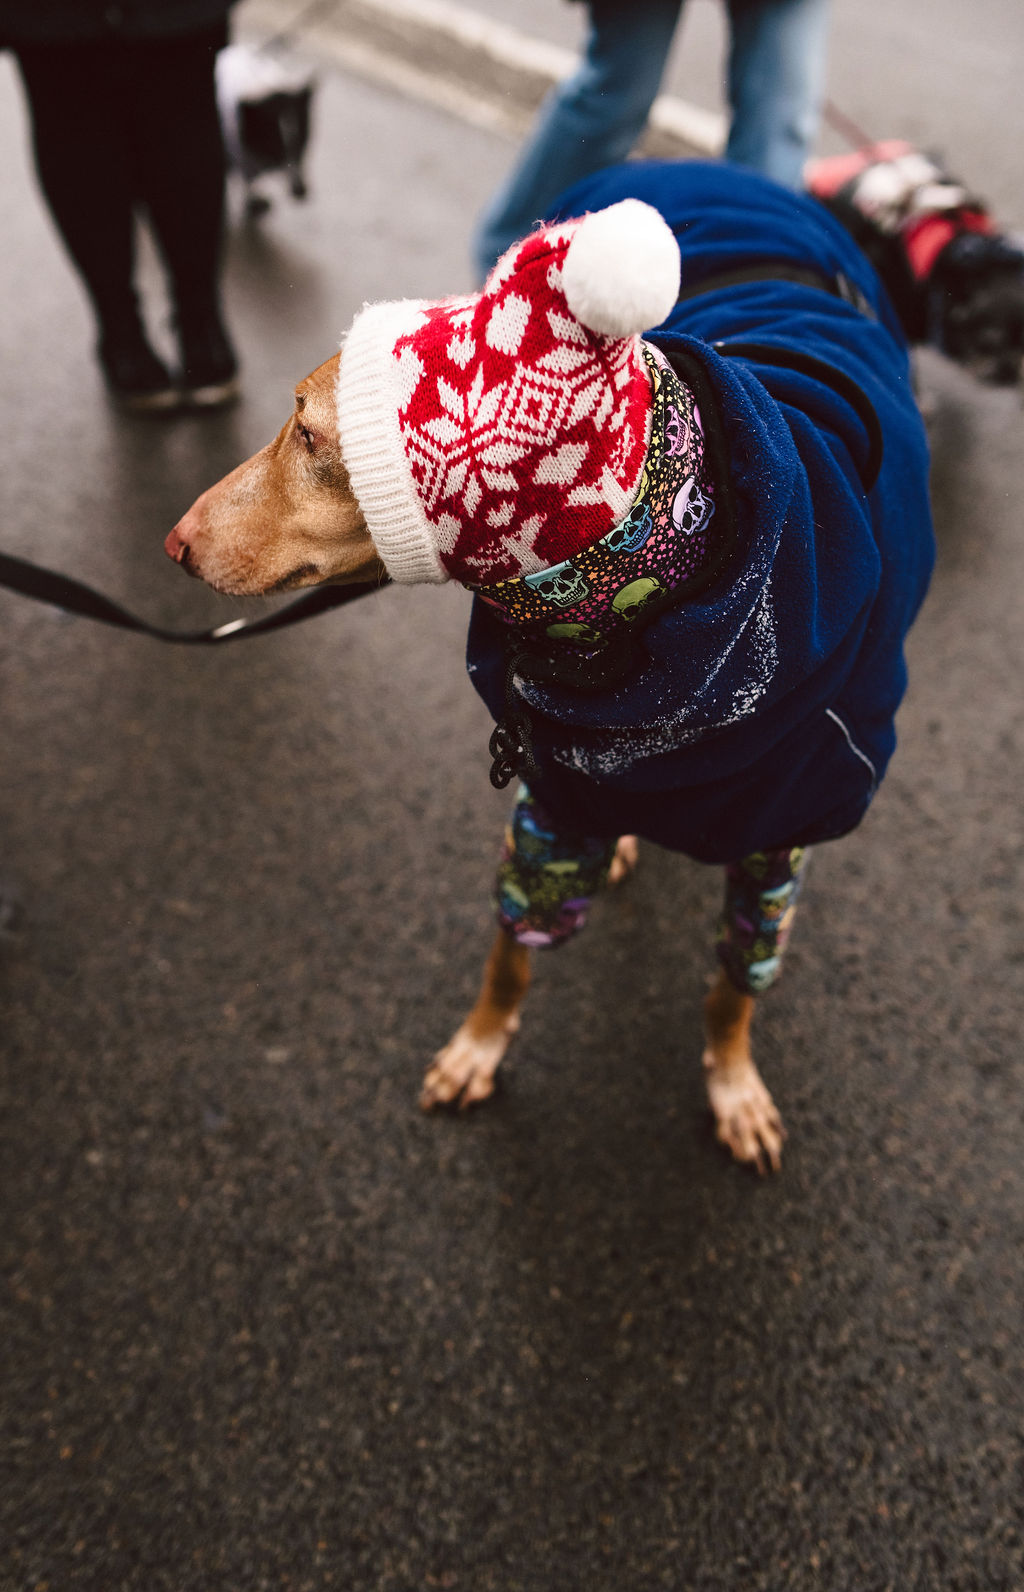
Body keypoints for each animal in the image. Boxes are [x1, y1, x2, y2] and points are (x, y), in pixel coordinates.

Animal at [165, 161, 935, 1173]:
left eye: (310, 437)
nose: (174, 542)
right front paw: (480, 1046)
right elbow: (512, 950)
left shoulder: (783, 836)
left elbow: (736, 984)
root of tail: (722, 168)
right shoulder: (553, 802)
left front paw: (732, 1081)